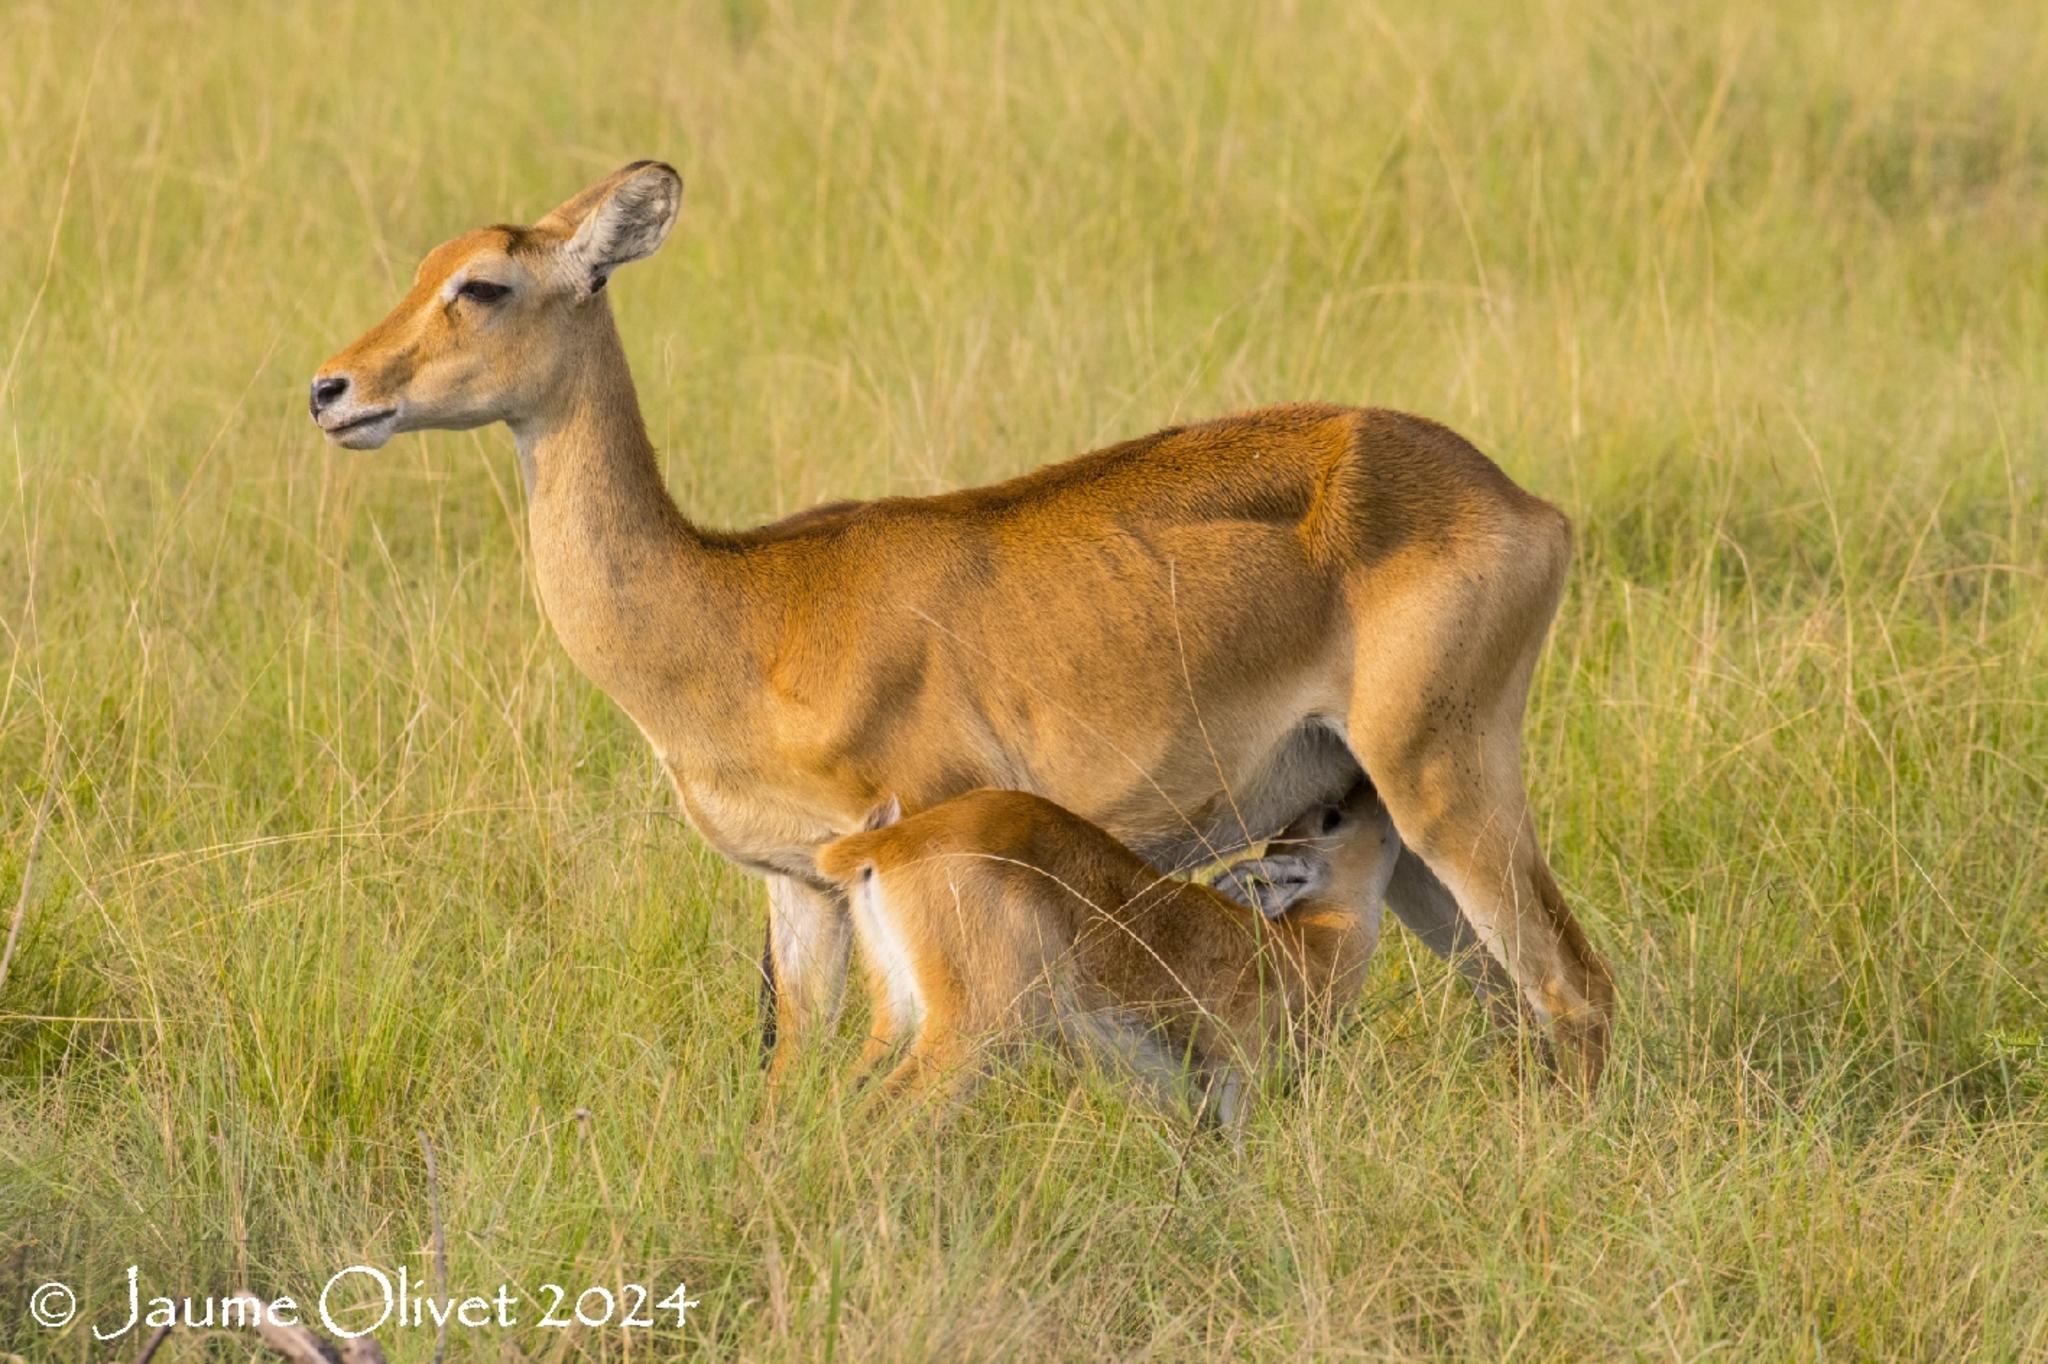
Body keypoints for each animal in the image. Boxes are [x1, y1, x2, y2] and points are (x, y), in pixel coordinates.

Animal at [307, 161, 1613, 1081]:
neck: (742, 608)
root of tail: (1517, 499)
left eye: (483, 283)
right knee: (1518, 1004)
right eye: (423, 264)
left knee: (1574, 989)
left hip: (1447, 784)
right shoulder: (800, 889)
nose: (333, 387)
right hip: (1393, 829)